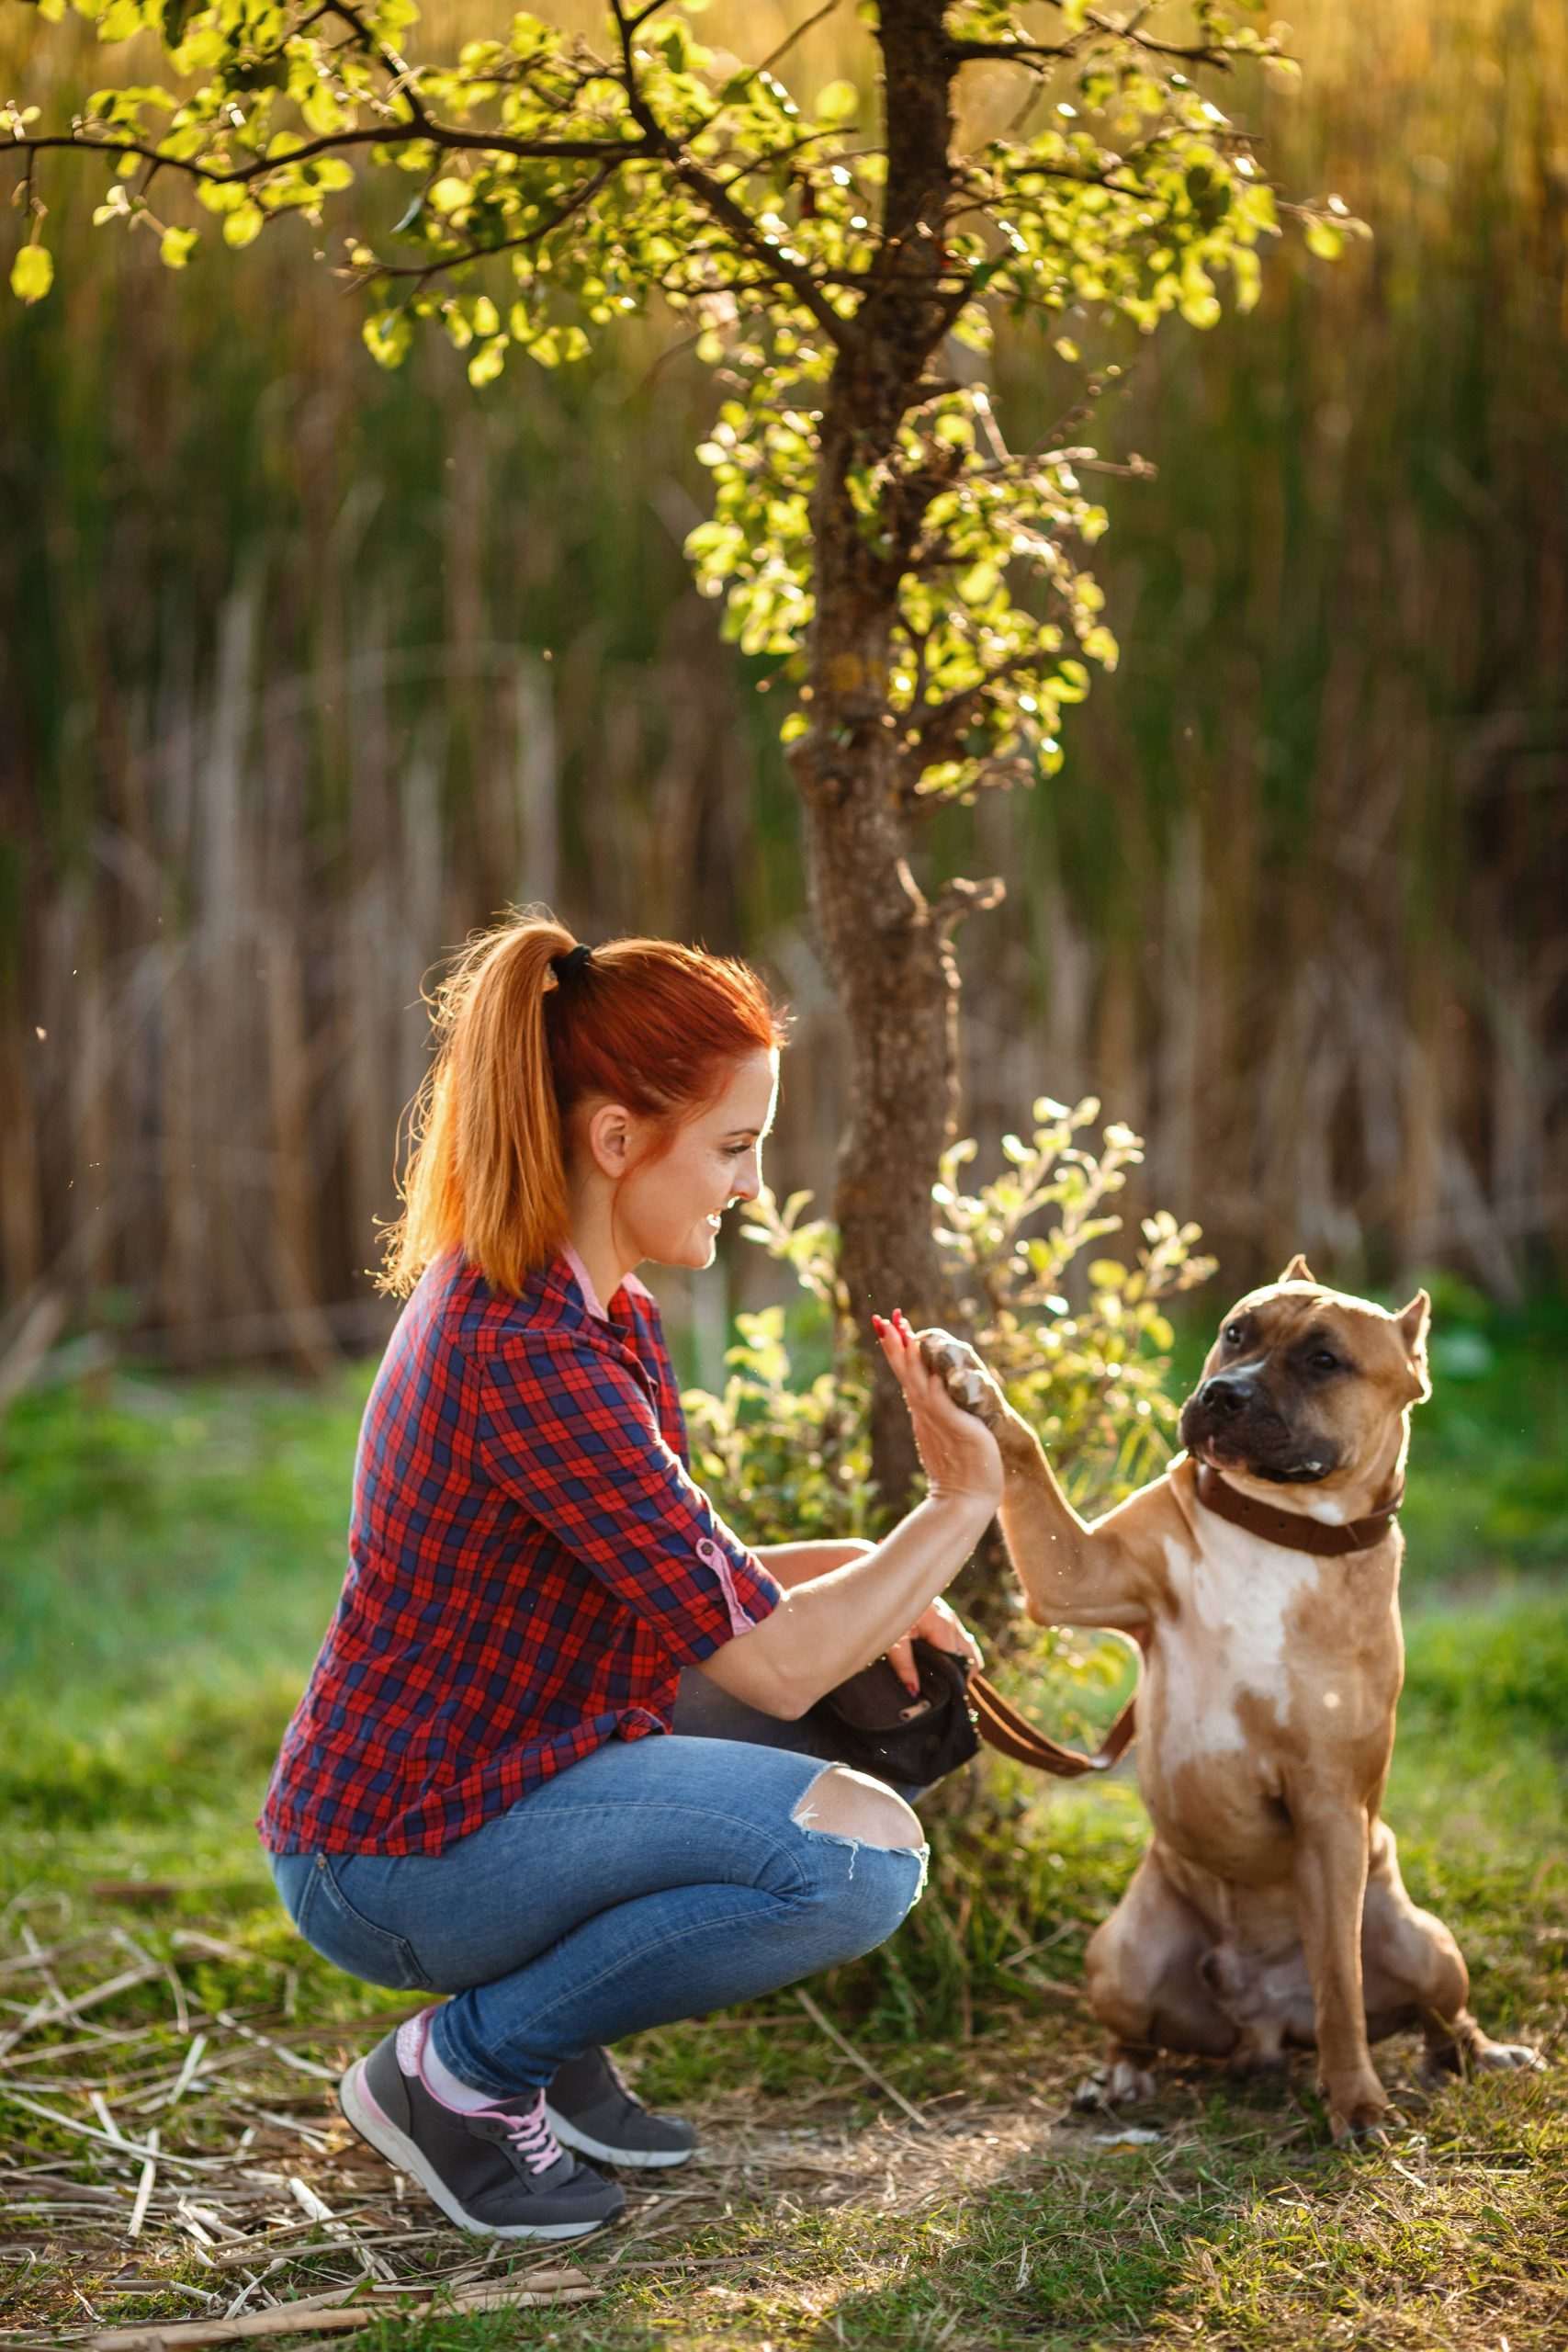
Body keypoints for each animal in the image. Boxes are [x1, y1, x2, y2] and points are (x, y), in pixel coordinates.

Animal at [911, 1270, 1541, 2154]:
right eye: (1236, 1332)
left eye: (1323, 1360)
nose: (1221, 1393)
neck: (1279, 1527)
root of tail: (1262, 2024)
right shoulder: (1076, 1575)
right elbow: (1025, 1456)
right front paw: (968, 1381)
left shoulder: (1328, 1808)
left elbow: (1341, 1988)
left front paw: (1356, 2104)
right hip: (1121, 1954)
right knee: (1133, 2034)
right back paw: (1115, 2079)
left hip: (1423, 1942)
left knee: (1441, 2016)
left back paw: (1485, 2054)